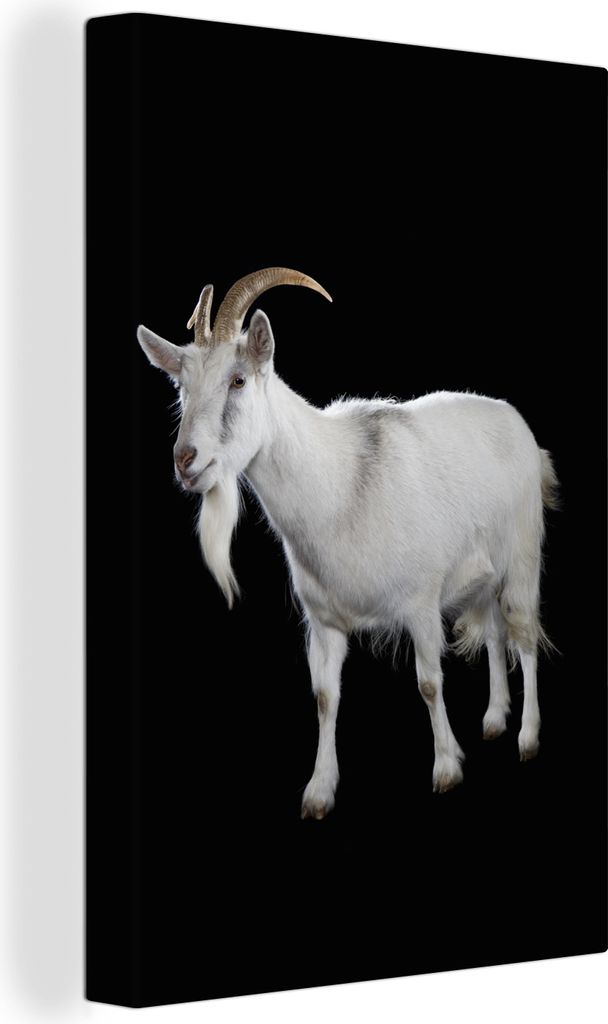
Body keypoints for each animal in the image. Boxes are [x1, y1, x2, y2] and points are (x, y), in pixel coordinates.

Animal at [138, 267, 558, 820]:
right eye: (181, 390)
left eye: (238, 380)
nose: (186, 461)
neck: (339, 487)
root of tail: (520, 426)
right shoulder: (324, 622)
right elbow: (324, 697)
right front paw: (319, 791)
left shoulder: (420, 603)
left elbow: (429, 682)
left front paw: (446, 769)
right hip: (481, 574)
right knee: (491, 631)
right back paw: (493, 719)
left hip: (522, 553)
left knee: (522, 634)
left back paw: (527, 737)